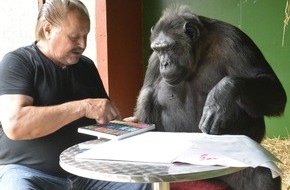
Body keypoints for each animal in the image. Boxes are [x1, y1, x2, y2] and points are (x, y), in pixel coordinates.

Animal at [135, 4, 286, 190]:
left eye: (169, 48)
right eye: (158, 49)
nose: (165, 63)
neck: (200, 51)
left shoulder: (236, 42)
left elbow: (272, 86)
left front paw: (221, 95)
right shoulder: (153, 62)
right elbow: (146, 94)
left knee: (262, 176)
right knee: (147, 96)